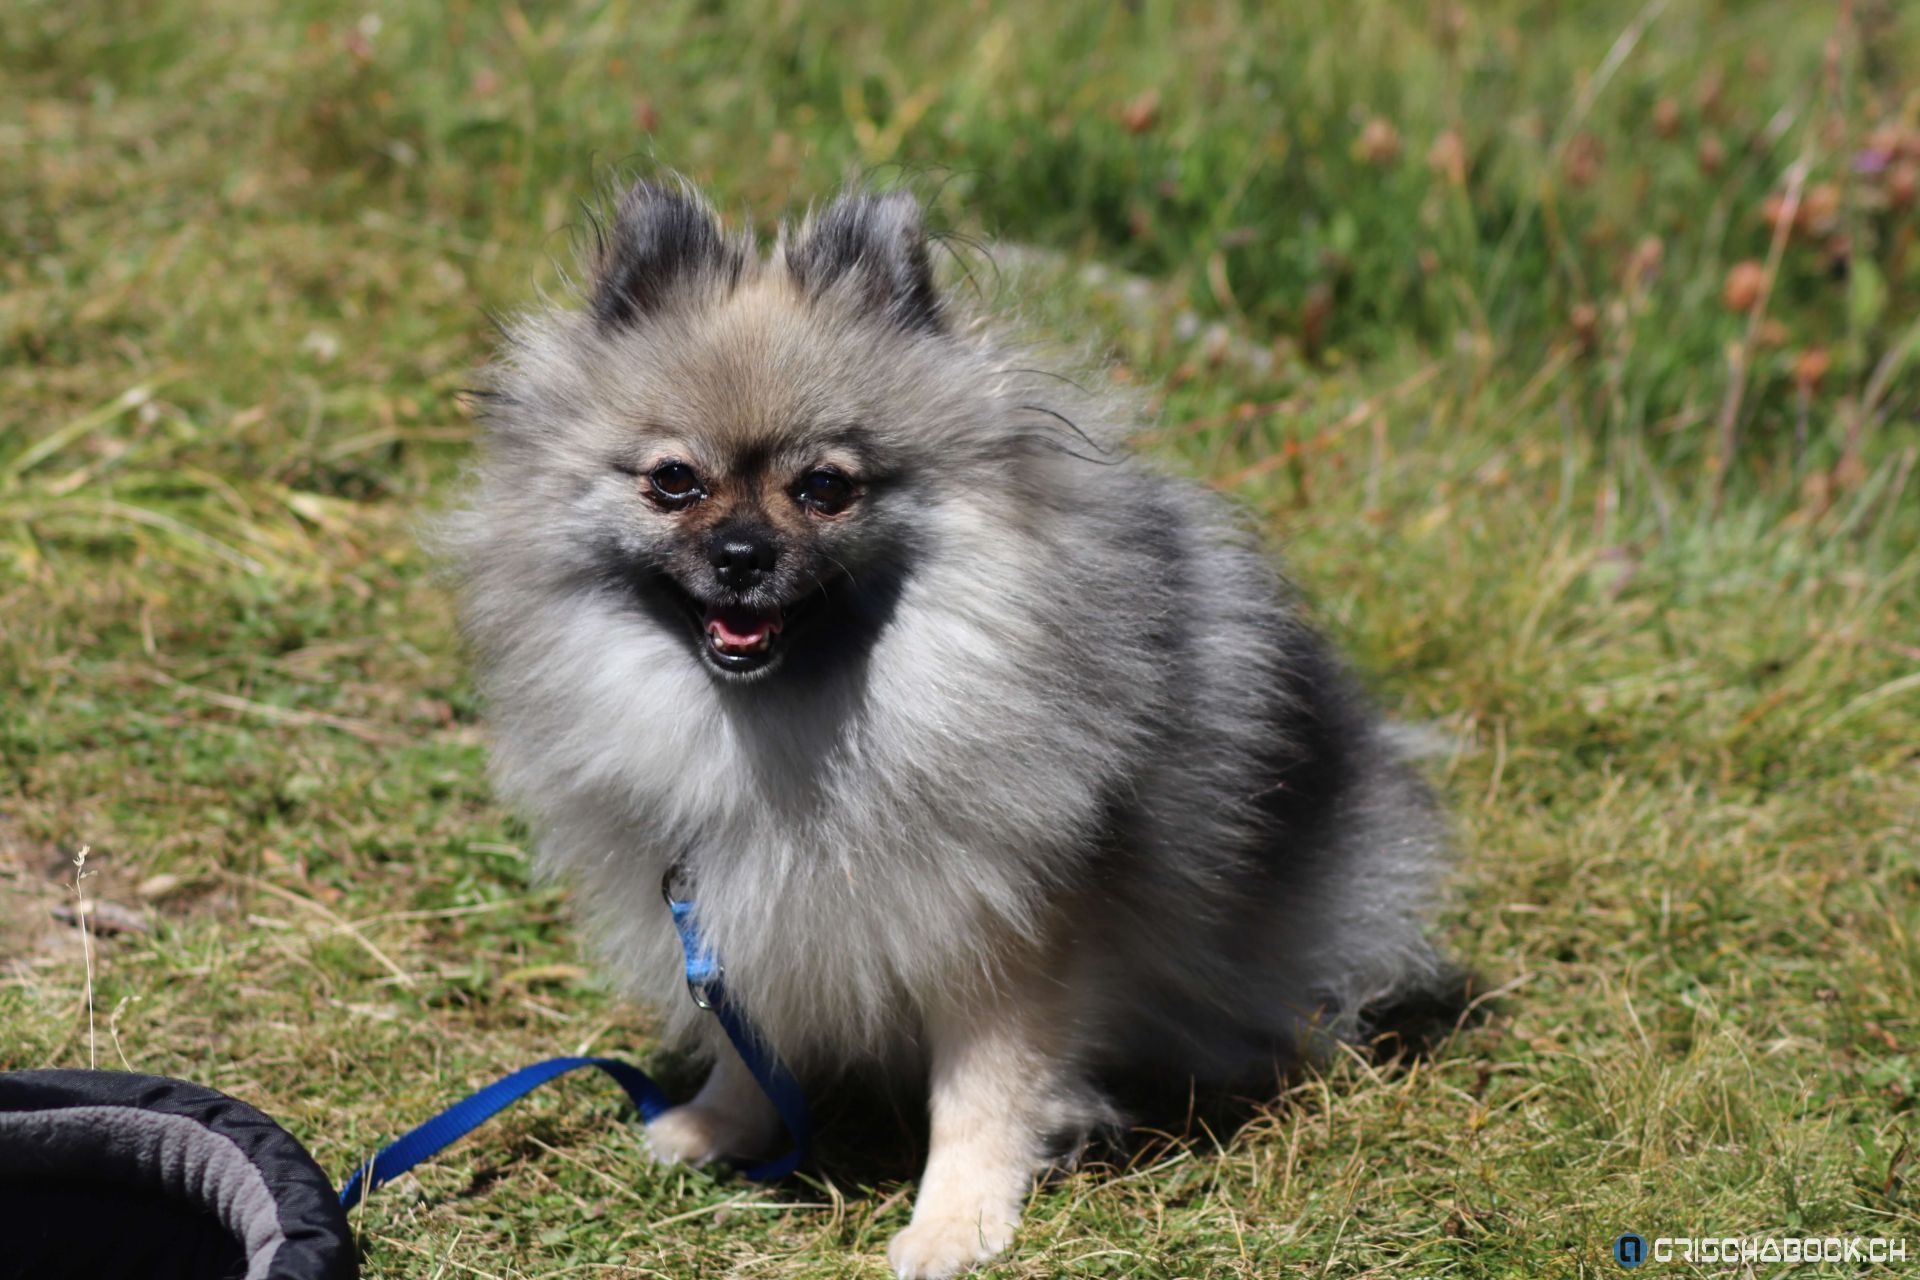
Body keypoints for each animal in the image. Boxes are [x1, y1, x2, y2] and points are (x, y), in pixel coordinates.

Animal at [439, 180, 1451, 1280]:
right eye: (673, 480)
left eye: (825, 487)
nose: (744, 555)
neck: (796, 729)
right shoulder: (737, 911)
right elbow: (750, 1047)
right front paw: (720, 1125)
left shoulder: (1010, 935)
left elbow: (982, 1094)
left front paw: (957, 1222)